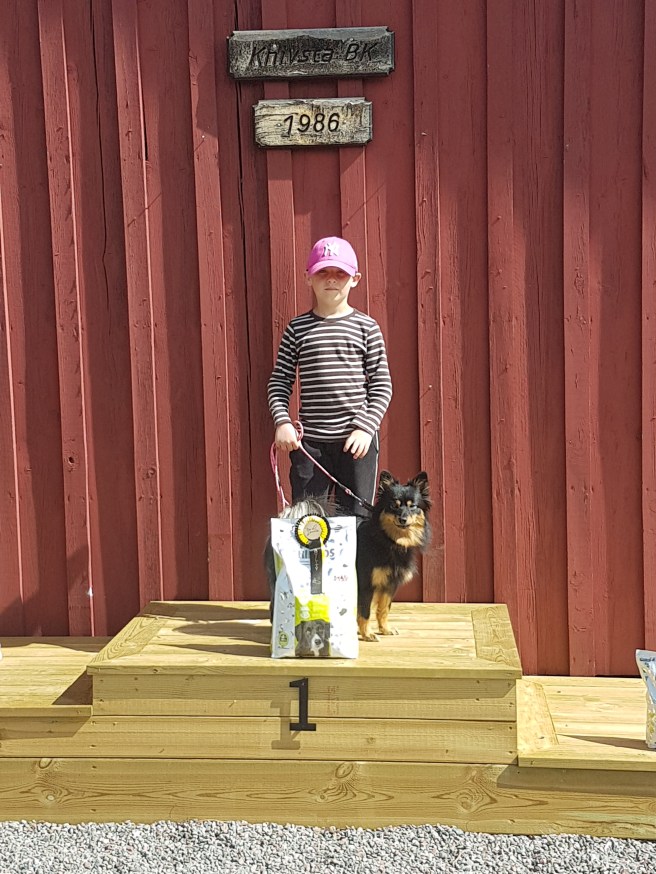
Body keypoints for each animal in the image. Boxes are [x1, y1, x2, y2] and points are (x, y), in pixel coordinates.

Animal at [355, 471, 431, 641]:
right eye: (393, 505)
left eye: (412, 506)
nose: (403, 519)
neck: (389, 541)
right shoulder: (366, 583)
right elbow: (365, 611)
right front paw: (367, 634)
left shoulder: (389, 583)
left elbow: (384, 609)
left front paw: (385, 629)